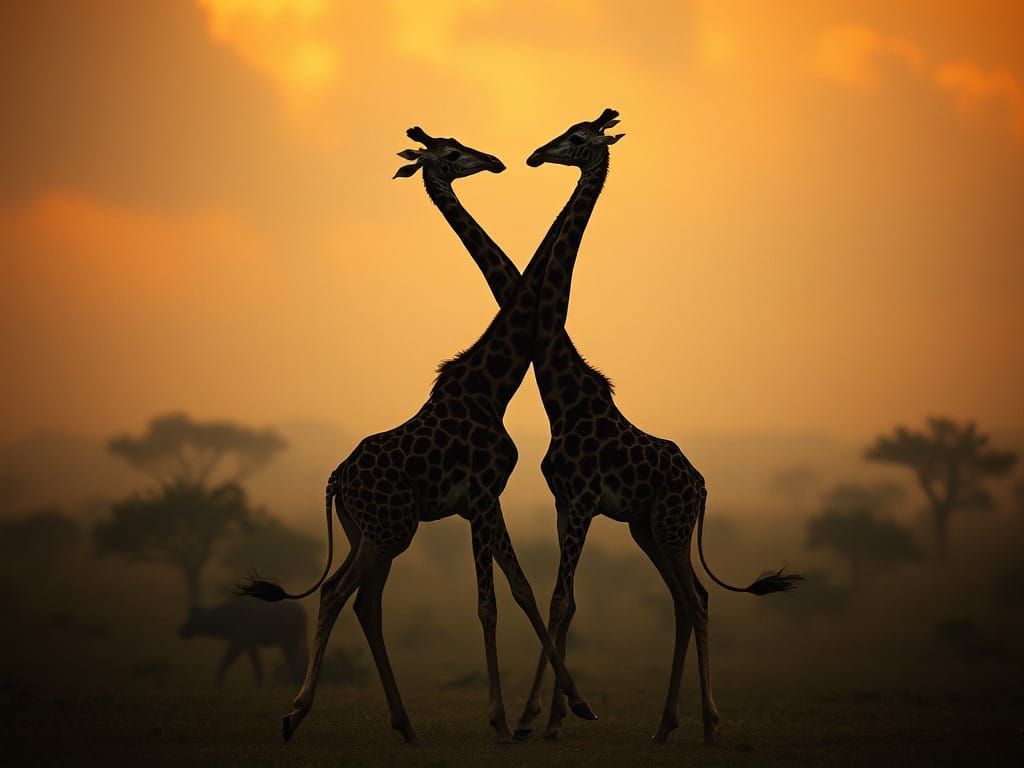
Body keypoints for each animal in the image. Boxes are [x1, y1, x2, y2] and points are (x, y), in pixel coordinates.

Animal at [239, 133, 599, 745]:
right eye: (451, 153)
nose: (498, 161)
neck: (490, 384)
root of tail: (335, 480)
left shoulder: (487, 500)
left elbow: (521, 588)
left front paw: (564, 707)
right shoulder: (480, 496)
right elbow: (490, 603)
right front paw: (505, 719)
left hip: (371, 532)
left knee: (365, 603)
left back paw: (403, 723)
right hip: (390, 532)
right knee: (338, 595)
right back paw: (294, 714)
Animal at [411, 109, 802, 745]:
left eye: (577, 139)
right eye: (451, 151)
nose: (523, 158)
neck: (562, 389)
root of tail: (702, 487)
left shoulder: (583, 499)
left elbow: (561, 599)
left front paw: (542, 719)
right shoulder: (565, 501)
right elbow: (561, 599)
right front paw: (549, 719)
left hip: (667, 524)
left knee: (696, 600)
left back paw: (707, 724)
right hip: (648, 527)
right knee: (686, 598)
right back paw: (667, 726)